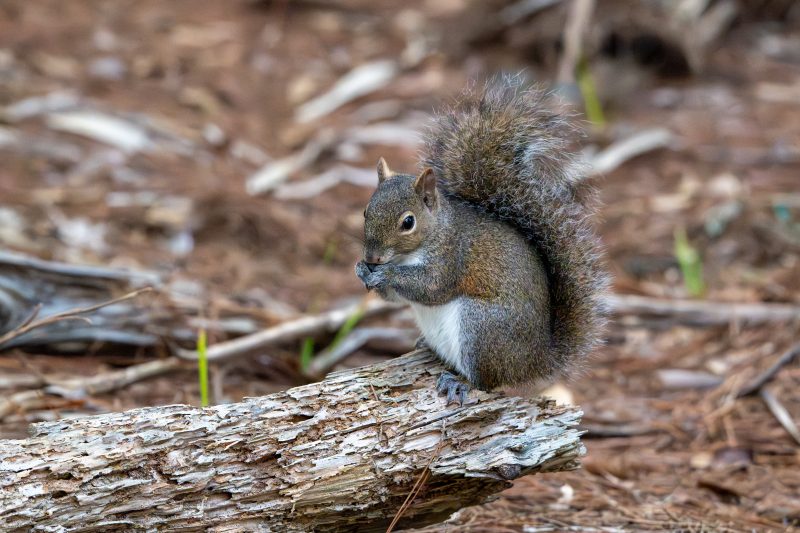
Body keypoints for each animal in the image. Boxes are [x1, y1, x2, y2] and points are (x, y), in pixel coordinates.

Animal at [355, 78, 609, 405]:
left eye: (408, 222)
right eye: (365, 211)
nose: (372, 258)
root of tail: (535, 362)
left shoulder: (453, 255)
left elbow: (431, 287)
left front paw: (386, 273)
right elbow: (396, 298)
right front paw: (361, 270)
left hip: (481, 328)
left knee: (486, 381)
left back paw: (459, 381)